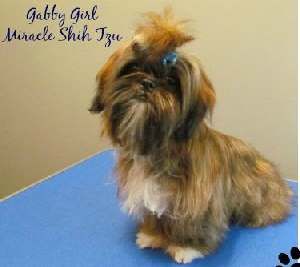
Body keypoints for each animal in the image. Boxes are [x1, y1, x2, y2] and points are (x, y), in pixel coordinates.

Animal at [88, 8, 290, 266]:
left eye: (171, 82)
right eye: (132, 68)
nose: (147, 83)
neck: (156, 146)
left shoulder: (198, 201)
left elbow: (192, 224)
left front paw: (186, 247)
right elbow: (156, 217)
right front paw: (153, 235)